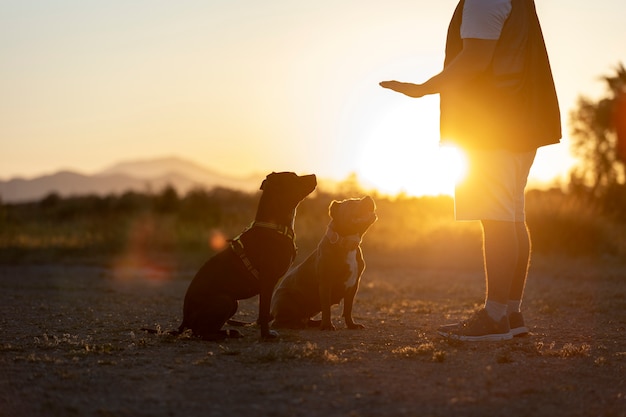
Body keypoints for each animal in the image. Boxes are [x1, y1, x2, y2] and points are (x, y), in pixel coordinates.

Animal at [176, 171, 314, 340]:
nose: (314, 175)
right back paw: (224, 335)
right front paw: (266, 336)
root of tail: (185, 319)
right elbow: (263, 312)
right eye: (294, 177)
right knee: (201, 332)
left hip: (233, 303)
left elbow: (263, 313)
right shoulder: (267, 281)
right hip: (225, 300)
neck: (274, 226)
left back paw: (230, 332)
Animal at [270, 197, 376, 330]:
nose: (368, 197)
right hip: (286, 299)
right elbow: (326, 307)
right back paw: (297, 325)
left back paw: (313, 323)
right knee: (278, 322)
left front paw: (351, 325)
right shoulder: (326, 283)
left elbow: (348, 308)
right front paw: (327, 326)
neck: (346, 243)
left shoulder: (353, 286)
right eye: (352, 202)